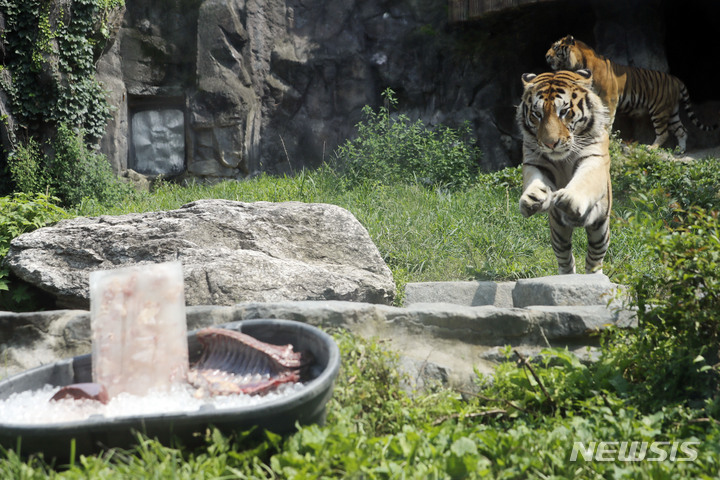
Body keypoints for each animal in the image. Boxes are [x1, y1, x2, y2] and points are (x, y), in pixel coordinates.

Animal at [516, 69, 612, 276]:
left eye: (564, 112)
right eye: (537, 114)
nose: (550, 143)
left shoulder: (594, 158)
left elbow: (585, 181)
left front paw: (569, 200)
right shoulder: (534, 161)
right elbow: (534, 180)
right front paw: (532, 199)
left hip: (600, 229)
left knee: (594, 256)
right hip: (558, 231)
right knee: (565, 255)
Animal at [544, 35, 716, 152]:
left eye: (556, 48)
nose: (546, 56)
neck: (578, 65)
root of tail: (676, 79)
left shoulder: (609, 98)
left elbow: (607, 120)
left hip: (659, 110)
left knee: (664, 132)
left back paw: (652, 147)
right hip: (671, 110)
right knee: (682, 130)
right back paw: (680, 151)